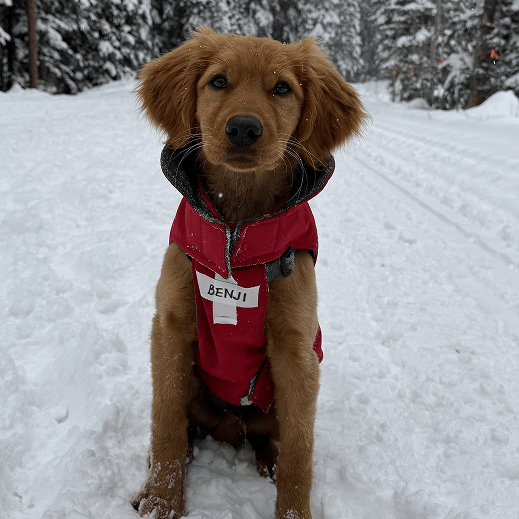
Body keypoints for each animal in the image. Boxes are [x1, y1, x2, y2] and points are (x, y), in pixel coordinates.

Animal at [131, 27, 367, 519]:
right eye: (218, 81)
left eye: (282, 88)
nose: (243, 127)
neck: (237, 236)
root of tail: (230, 427)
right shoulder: (170, 328)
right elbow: (165, 423)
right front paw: (162, 502)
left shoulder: (297, 353)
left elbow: (300, 451)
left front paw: (294, 510)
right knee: (183, 428)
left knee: (274, 440)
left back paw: (267, 462)